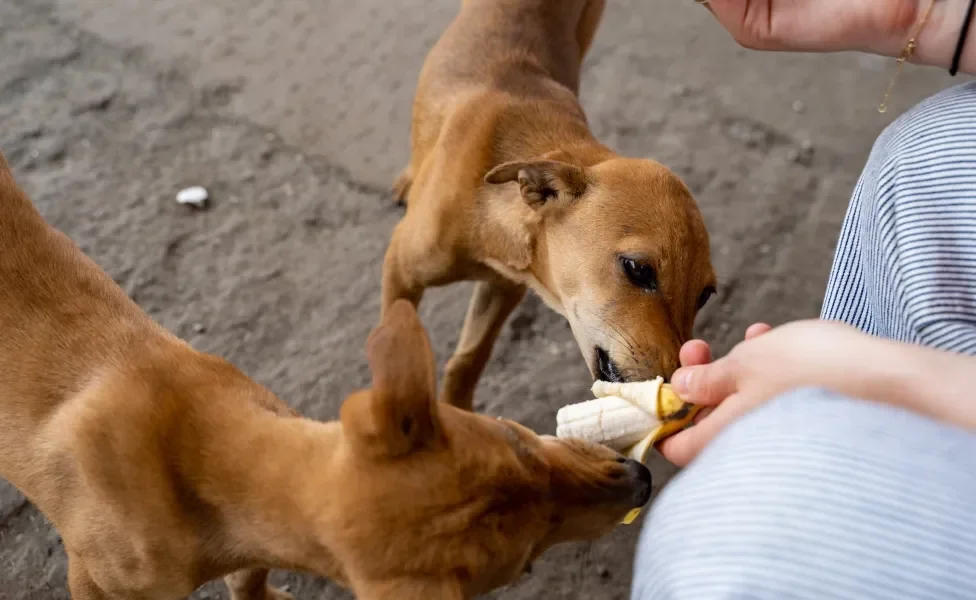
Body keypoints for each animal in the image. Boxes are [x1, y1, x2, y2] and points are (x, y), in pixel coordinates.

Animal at [0, 152, 656, 596]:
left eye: (516, 438)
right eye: (526, 560)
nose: (642, 478)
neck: (198, 455)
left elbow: (249, 578)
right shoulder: (97, 578)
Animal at [384, 0, 716, 410]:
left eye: (705, 294)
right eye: (638, 269)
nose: (683, 400)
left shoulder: (504, 288)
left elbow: (469, 359)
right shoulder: (399, 269)